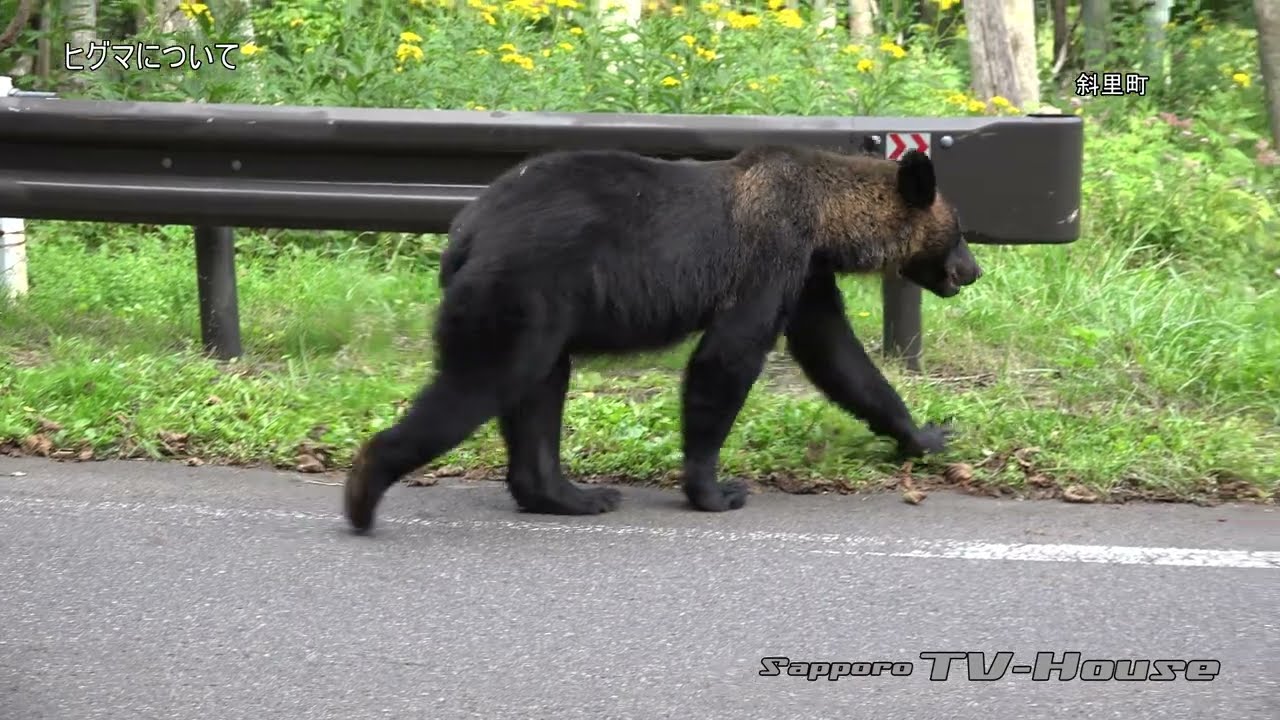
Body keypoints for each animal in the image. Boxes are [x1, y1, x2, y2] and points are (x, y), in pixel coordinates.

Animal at [343, 144, 982, 533]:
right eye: (958, 231)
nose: (973, 271)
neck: (827, 221)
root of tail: (463, 231)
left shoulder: (806, 275)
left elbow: (836, 355)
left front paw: (926, 433)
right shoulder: (771, 255)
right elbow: (728, 356)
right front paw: (716, 488)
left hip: (545, 310)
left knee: (539, 390)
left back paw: (571, 494)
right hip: (521, 292)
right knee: (482, 381)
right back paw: (365, 487)